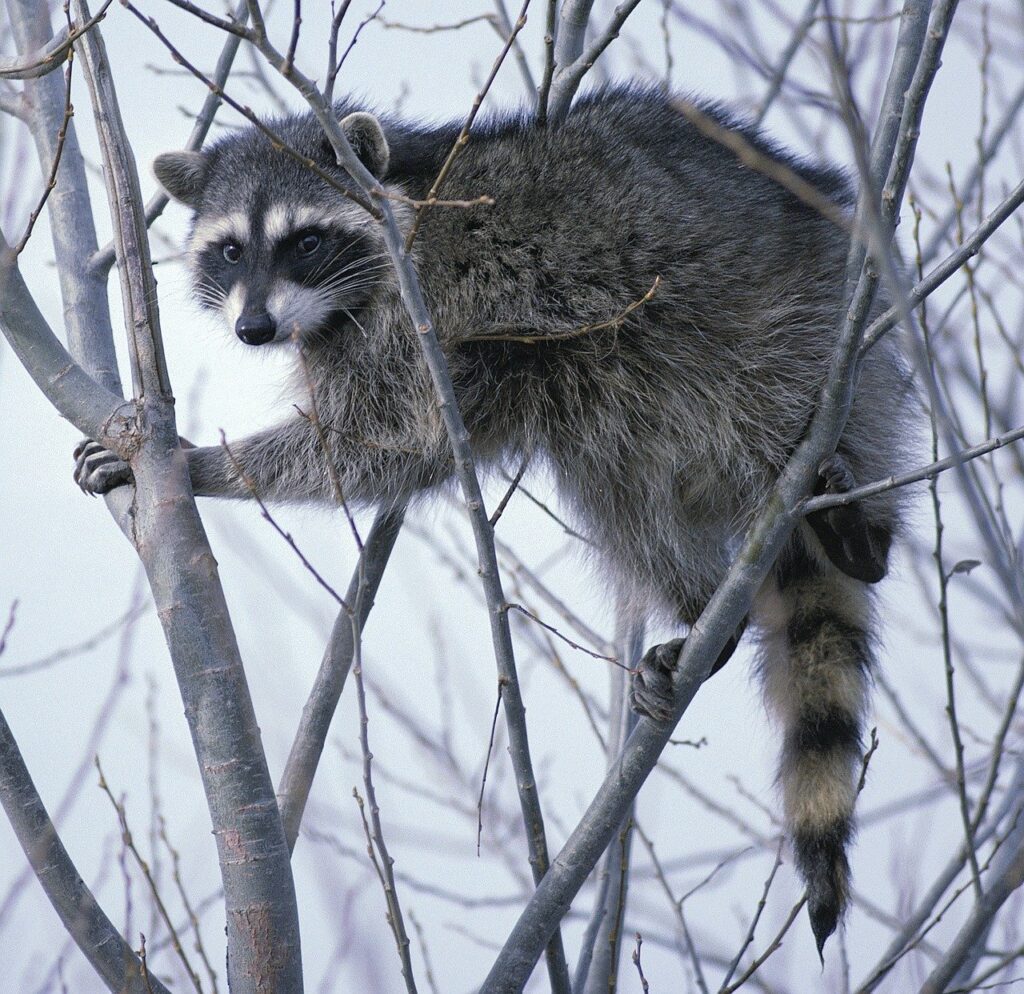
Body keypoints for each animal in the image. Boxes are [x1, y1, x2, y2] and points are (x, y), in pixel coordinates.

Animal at [75, 86, 911, 952]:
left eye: (305, 241)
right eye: (232, 251)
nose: (254, 329)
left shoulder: (425, 312)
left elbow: (381, 440)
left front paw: (204, 463)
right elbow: (401, 452)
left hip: (791, 327)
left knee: (763, 407)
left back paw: (861, 532)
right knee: (615, 483)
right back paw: (703, 606)